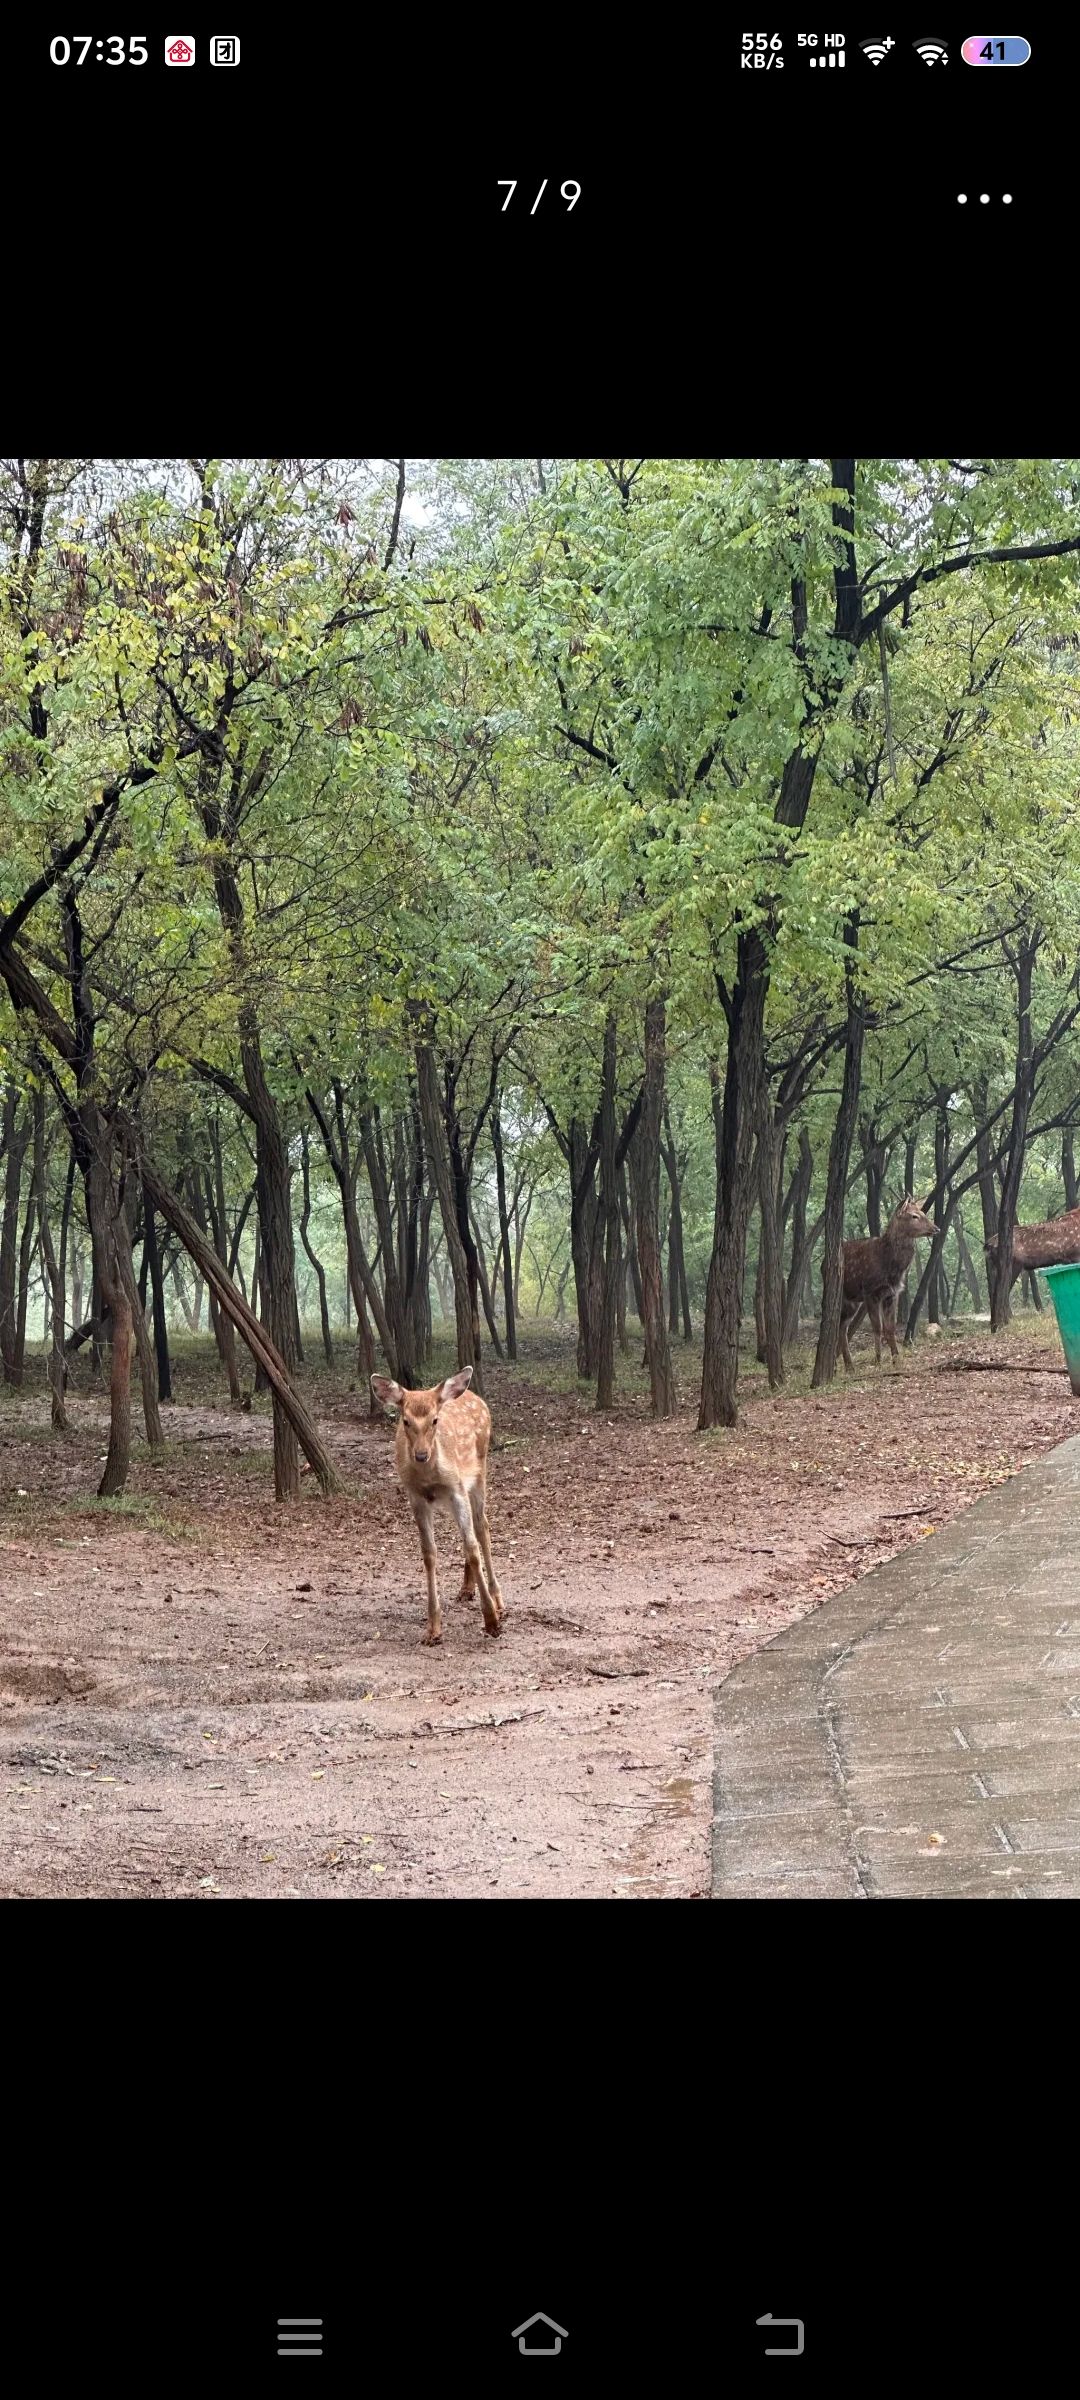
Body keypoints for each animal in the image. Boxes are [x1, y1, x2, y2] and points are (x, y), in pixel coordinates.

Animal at [371, 1364, 504, 1647]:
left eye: (434, 1420)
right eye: (405, 1421)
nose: (422, 1455)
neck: (429, 1478)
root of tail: (473, 1395)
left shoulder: (456, 1488)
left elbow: (472, 1549)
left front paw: (491, 1621)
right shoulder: (416, 1497)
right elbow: (429, 1554)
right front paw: (433, 1629)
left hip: (479, 1472)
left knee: (482, 1529)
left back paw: (498, 1600)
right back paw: (466, 1589)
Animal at [839, 1195, 936, 1370]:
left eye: (923, 1212)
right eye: (914, 1216)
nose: (936, 1228)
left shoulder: (892, 1294)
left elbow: (890, 1328)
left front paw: (896, 1358)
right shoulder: (870, 1292)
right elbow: (878, 1328)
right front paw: (878, 1360)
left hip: (853, 1301)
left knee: (842, 1327)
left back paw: (849, 1366)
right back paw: (847, 1366)